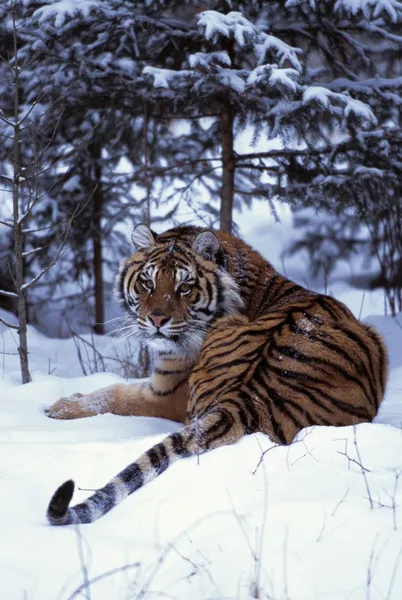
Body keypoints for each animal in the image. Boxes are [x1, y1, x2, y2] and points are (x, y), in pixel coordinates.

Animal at [45, 224, 388, 524]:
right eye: (147, 283)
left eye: (184, 287)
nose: (156, 319)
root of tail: (244, 397)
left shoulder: (166, 394)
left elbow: (115, 394)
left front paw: (58, 407)